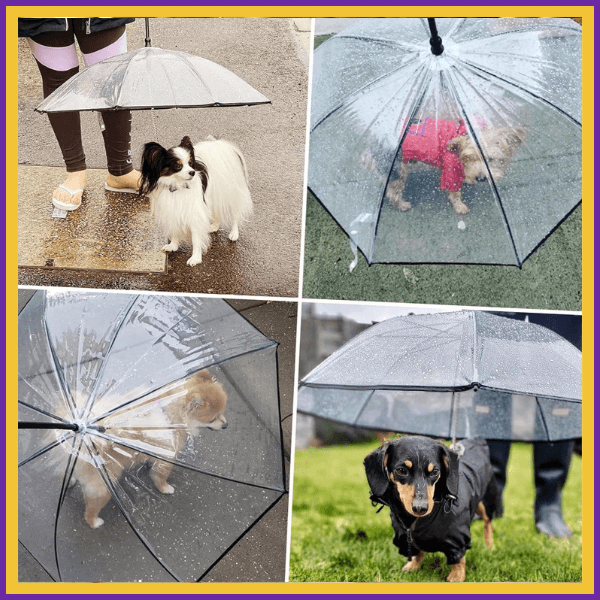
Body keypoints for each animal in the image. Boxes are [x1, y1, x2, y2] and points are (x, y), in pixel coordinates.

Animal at [139, 138, 252, 268]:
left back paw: (234, 233)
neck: (178, 186)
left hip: (229, 196)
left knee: (235, 215)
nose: (192, 172)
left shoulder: (195, 215)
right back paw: (214, 226)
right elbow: (175, 230)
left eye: (190, 163)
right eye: (178, 166)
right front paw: (173, 246)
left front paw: (196, 258)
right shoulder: (173, 211)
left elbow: (196, 239)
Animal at [384, 119, 524, 216]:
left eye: (490, 159)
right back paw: (401, 205)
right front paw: (459, 206)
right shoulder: (451, 170)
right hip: (398, 170)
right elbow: (455, 192)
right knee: (392, 191)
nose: (480, 178)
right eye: (469, 158)